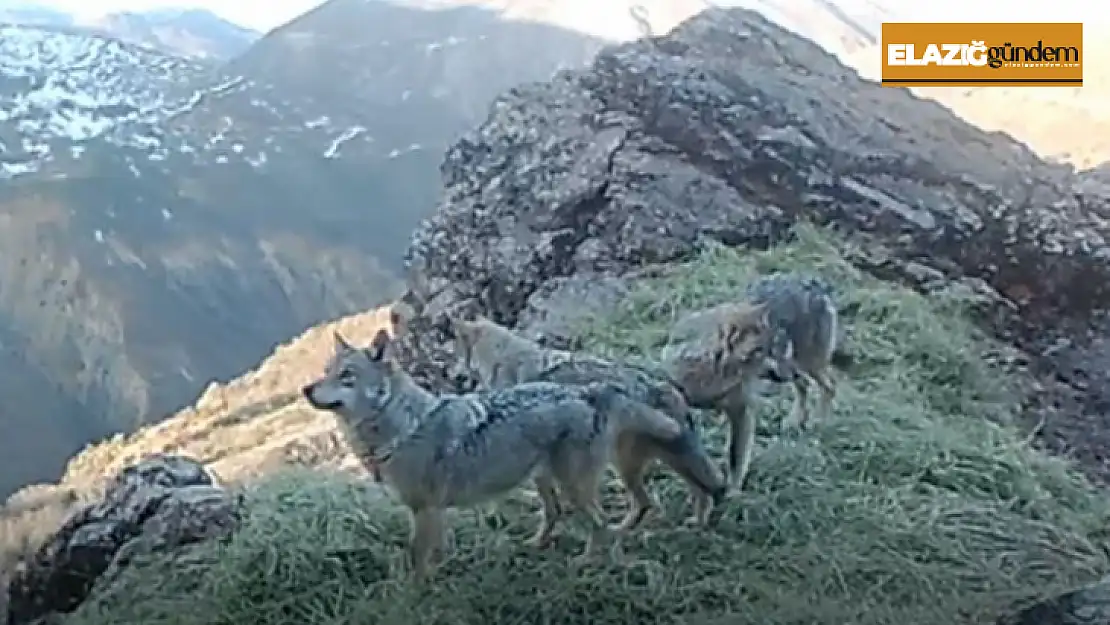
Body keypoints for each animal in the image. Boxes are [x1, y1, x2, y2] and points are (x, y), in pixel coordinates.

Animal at [299, 330, 679, 581]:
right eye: (326, 371)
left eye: (347, 376)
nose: (306, 389)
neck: (403, 430)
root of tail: (590, 392)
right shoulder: (432, 512)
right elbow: (434, 554)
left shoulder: (424, 510)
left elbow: (416, 560)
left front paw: (414, 594)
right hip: (545, 480)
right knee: (559, 515)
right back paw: (536, 544)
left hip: (573, 487)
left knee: (600, 526)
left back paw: (589, 563)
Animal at [448, 317, 728, 532]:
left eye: (455, 354)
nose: (453, 376)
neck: (505, 361)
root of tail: (663, 386)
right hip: (654, 462)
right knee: (694, 492)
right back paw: (692, 524)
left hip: (628, 462)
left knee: (655, 500)